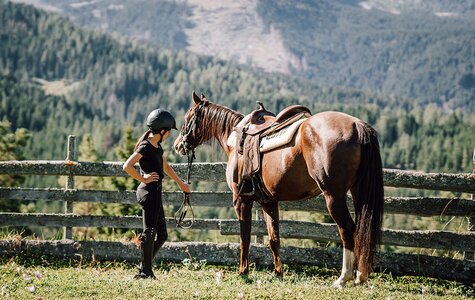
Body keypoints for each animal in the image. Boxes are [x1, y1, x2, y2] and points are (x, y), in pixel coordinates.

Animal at [173, 91, 384, 286]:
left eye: (188, 117)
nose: (177, 146)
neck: (236, 141)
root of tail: (356, 125)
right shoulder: (268, 201)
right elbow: (274, 238)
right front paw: (278, 273)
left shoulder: (241, 200)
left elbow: (244, 237)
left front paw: (243, 272)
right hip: (357, 193)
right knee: (361, 230)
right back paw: (360, 276)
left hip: (334, 196)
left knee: (347, 229)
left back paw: (343, 278)